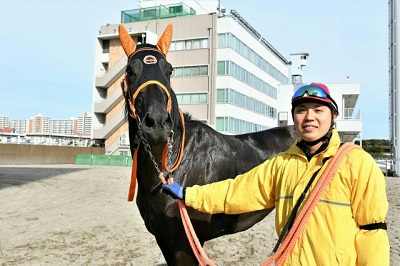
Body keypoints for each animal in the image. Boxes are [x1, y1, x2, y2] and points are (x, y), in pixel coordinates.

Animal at [119, 23, 296, 264]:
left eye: (169, 70)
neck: (172, 167)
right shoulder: (163, 240)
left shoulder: (186, 245)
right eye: (130, 71)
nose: (157, 123)